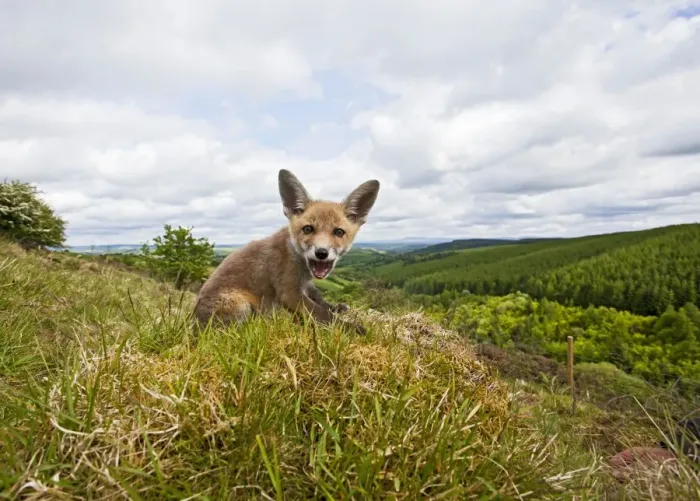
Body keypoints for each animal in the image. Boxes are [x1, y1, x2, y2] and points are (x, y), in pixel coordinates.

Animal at [193, 169, 380, 335]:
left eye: (339, 232)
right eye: (308, 229)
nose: (321, 253)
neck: (297, 259)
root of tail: (193, 323)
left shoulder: (305, 285)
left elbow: (319, 299)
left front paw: (336, 307)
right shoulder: (289, 291)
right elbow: (322, 313)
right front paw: (351, 328)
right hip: (240, 305)